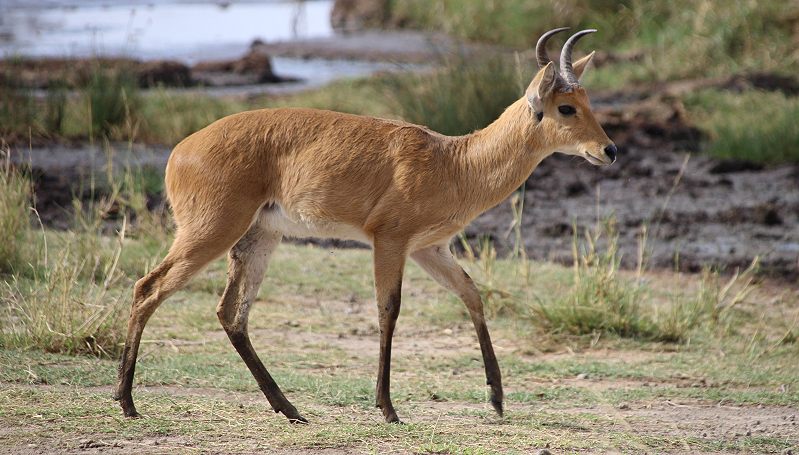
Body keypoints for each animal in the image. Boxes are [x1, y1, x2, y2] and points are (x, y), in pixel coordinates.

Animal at [112, 28, 616, 426]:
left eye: (588, 100)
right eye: (566, 108)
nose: (609, 150)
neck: (454, 163)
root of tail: (179, 150)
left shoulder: (430, 248)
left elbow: (472, 295)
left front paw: (496, 400)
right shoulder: (390, 240)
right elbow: (388, 310)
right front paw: (388, 408)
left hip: (259, 237)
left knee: (230, 313)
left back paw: (289, 409)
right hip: (212, 231)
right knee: (148, 288)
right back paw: (128, 402)